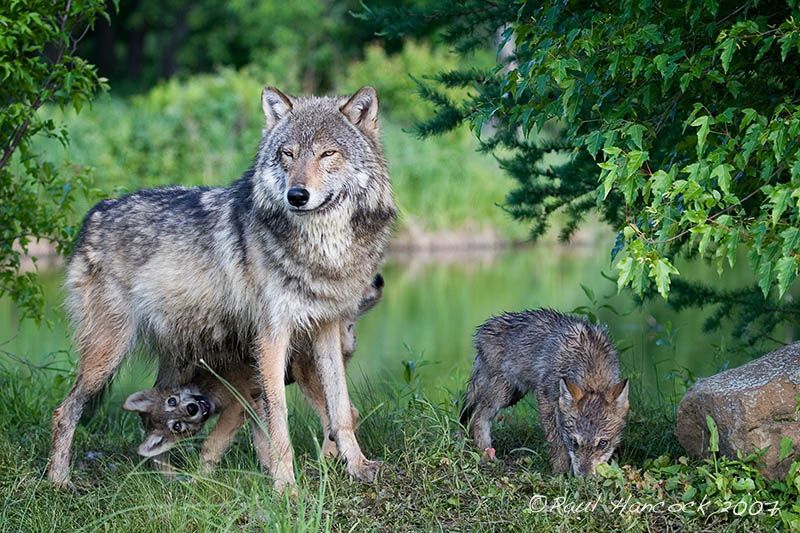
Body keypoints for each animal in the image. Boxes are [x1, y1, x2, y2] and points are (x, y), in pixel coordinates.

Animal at [123, 272, 386, 468]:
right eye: (176, 426)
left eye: (173, 400)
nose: (193, 408)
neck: (205, 383)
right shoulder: (256, 405)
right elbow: (264, 444)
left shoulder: (238, 404)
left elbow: (212, 444)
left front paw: (200, 476)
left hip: (307, 373)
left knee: (346, 414)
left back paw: (324, 463)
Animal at [460, 310, 628, 476]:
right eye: (574, 442)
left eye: (602, 443)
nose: (584, 477)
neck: (590, 363)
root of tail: (483, 329)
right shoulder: (546, 399)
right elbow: (557, 442)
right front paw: (560, 473)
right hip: (502, 395)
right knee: (477, 418)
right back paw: (487, 455)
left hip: (514, 395)